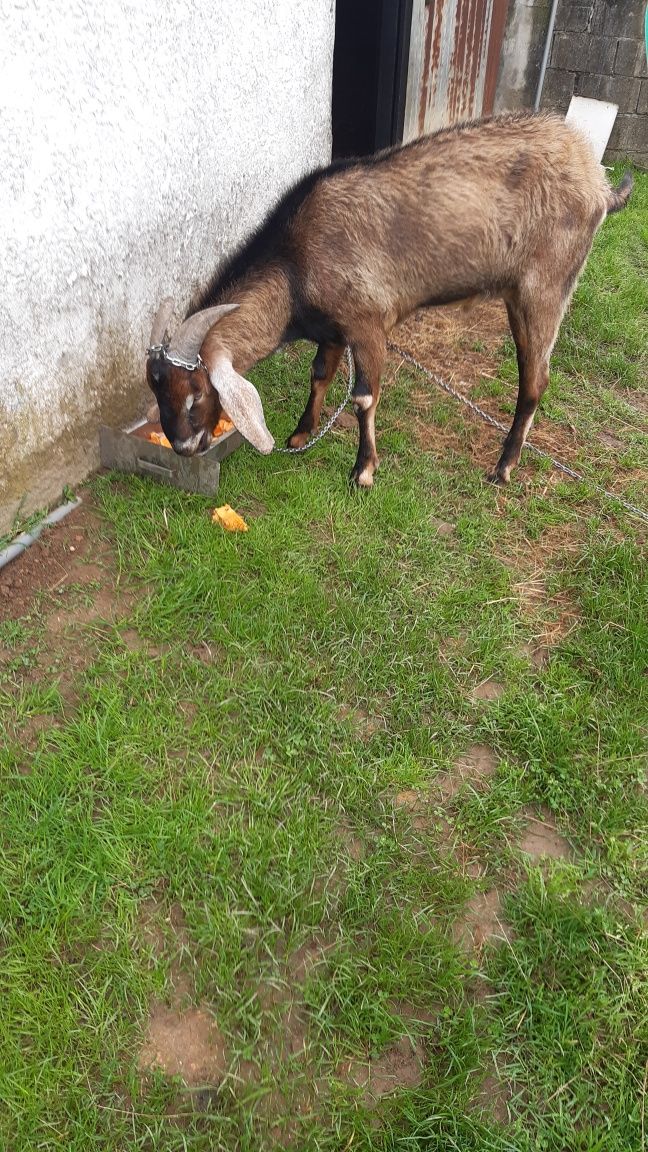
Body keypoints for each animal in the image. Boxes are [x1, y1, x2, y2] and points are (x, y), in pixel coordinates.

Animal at [146, 110, 631, 483]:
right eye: (156, 389)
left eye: (195, 393)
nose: (182, 446)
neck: (294, 264)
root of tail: (598, 183)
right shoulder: (333, 328)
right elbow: (319, 373)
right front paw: (301, 434)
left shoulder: (368, 323)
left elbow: (364, 397)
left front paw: (363, 471)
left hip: (545, 286)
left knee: (535, 379)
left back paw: (503, 468)